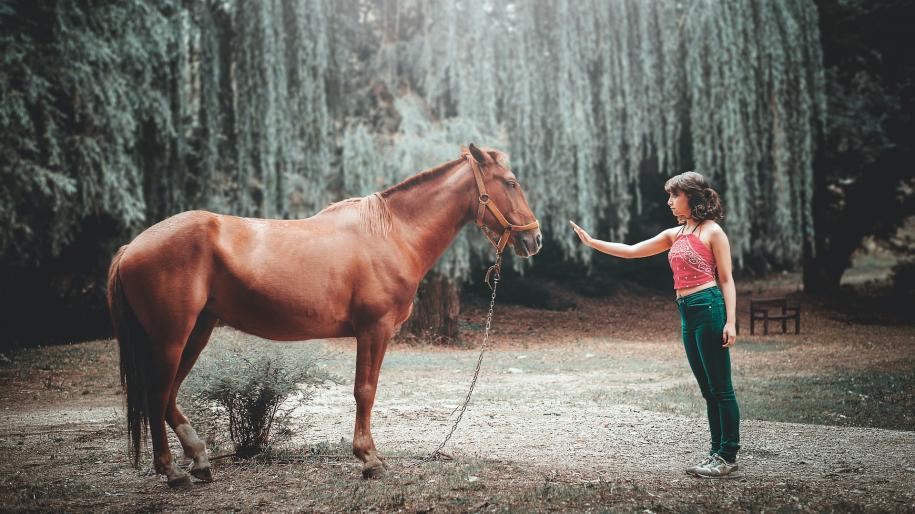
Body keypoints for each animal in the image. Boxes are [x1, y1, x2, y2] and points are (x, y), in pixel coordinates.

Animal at [106, 144, 542, 486]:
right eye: (510, 182)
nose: (534, 239)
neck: (392, 233)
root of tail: (132, 246)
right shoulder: (374, 330)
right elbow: (365, 391)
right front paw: (369, 459)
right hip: (171, 337)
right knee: (157, 393)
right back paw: (172, 471)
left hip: (197, 332)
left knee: (168, 395)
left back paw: (199, 460)